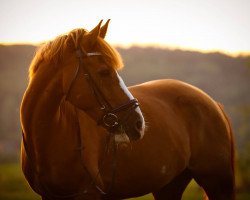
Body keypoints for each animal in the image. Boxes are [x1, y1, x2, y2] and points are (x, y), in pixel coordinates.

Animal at [20, 19, 235, 200]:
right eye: (104, 72)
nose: (139, 124)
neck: (50, 135)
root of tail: (212, 102)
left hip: (217, 183)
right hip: (169, 186)